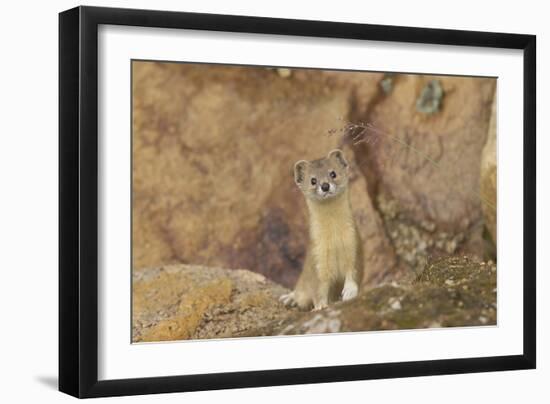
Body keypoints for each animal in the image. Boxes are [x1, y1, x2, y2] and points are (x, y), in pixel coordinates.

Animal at [282, 150, 364, 310]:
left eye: (333, 173)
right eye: (313, 180)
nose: (325, 186)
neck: (334, 240)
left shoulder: (354, 243)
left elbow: (353, 271)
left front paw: (349, 291)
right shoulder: (317, 257)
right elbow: (319, 288)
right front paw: (320, 306)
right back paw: (290, 298)